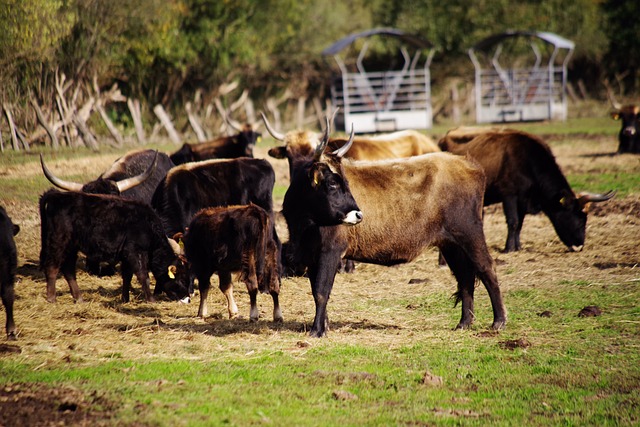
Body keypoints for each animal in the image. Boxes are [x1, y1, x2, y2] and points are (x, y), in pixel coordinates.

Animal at [39, 190, 189, 304]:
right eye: (181, 278)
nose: (187, 299)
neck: (148, 225)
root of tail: (56, 196)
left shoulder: (127, 256)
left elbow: (127, 277)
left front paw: (125, 299)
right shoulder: (135, 252)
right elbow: (143, 276)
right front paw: (151, 300)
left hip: (71, 247)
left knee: (68, 270)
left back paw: (79, 298)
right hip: (58, 242)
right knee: (52, 267)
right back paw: (51, 298)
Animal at [438, 129, 612, 252]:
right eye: (579, 218)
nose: (579, 246)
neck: (527, 160)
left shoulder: (523, 199)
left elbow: (520, 223)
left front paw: (518, 246)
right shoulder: (509, 195)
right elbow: (513, 221)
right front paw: (509, 248)